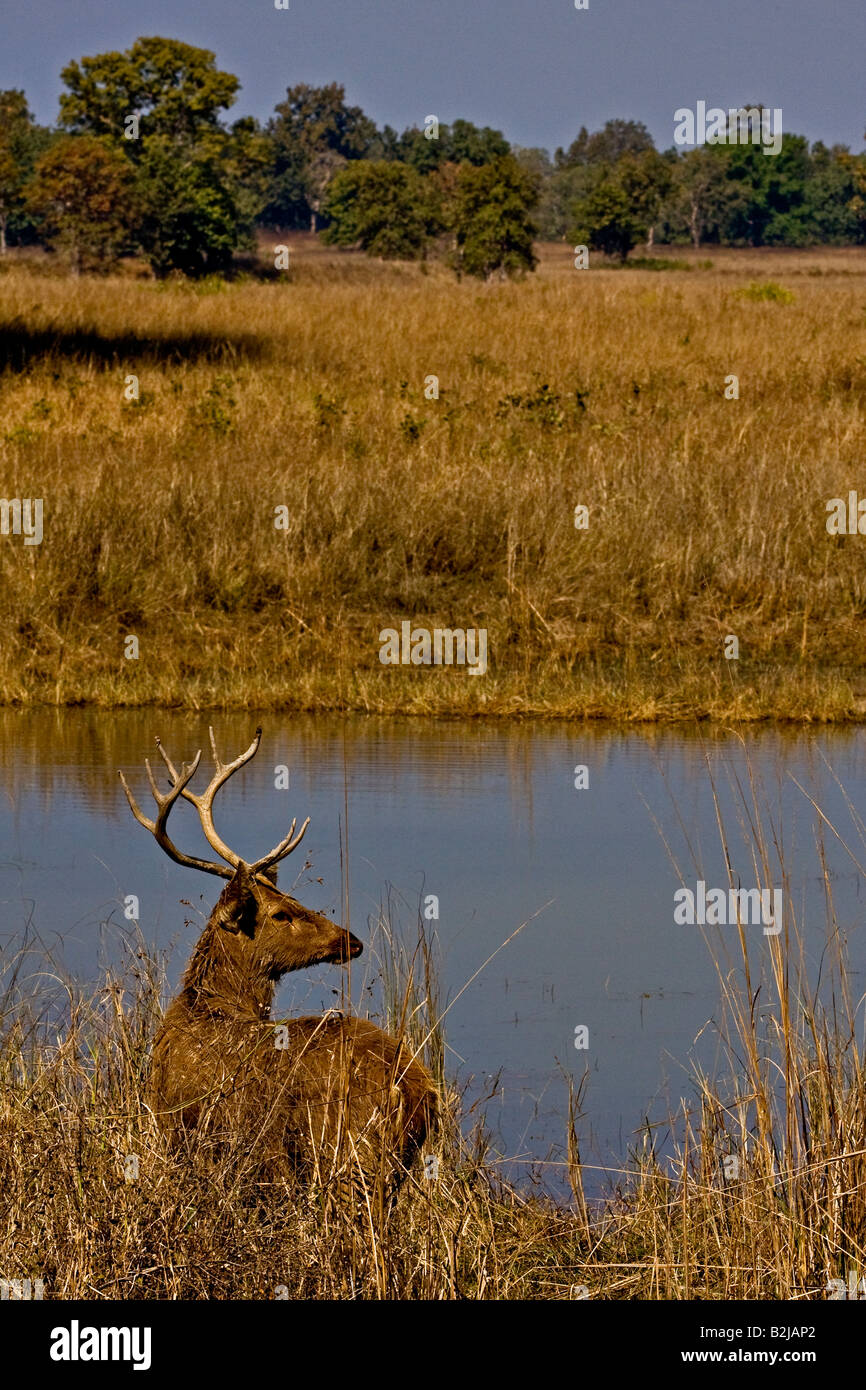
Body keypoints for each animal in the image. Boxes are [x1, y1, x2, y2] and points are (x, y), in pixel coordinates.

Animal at [119, 728, 437, 1198]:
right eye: (282, 912)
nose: (351, 941)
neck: (206, 1008)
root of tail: (414, 1091)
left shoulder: (177, 1127)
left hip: (343, 1150)